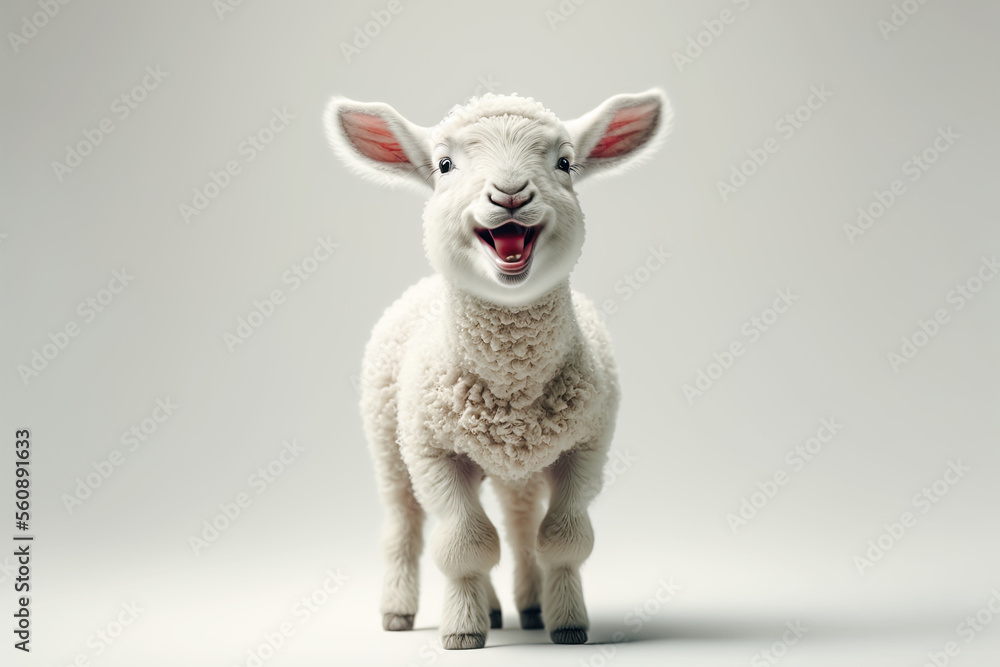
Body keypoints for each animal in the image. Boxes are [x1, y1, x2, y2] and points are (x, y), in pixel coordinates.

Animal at [323, 89, 670, 649]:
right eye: (444, 165)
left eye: (565, 162)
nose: (510, 193)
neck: (511, 388)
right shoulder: (432, 451)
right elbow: (465, 543)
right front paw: (462, 631)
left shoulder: (587, 446)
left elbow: (564, 538)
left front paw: (568, 622)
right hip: (387, 440)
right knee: (404, 523)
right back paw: (400, 611)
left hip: (519, 469)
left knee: (519, 522)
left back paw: (524, 605)